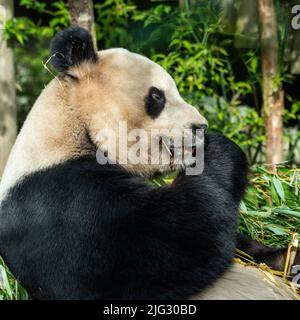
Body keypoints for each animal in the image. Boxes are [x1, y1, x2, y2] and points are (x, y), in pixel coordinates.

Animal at [0, 27, 296, 300]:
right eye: (157, 96)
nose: (200, 127)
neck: (70, 128)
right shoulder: (60, 205)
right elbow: (176, 238)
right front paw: (219, 149)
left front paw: (289, 261)